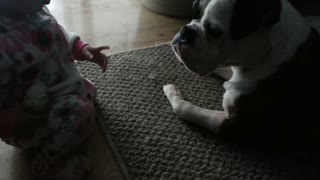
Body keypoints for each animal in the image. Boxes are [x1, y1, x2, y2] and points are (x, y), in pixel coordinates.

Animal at [164, 0, 320, 146]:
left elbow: (184, 108)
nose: (185, 31)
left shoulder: (237, 126)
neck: (267, 52)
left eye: (214, 32)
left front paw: (173, 93)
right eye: (193, 11)